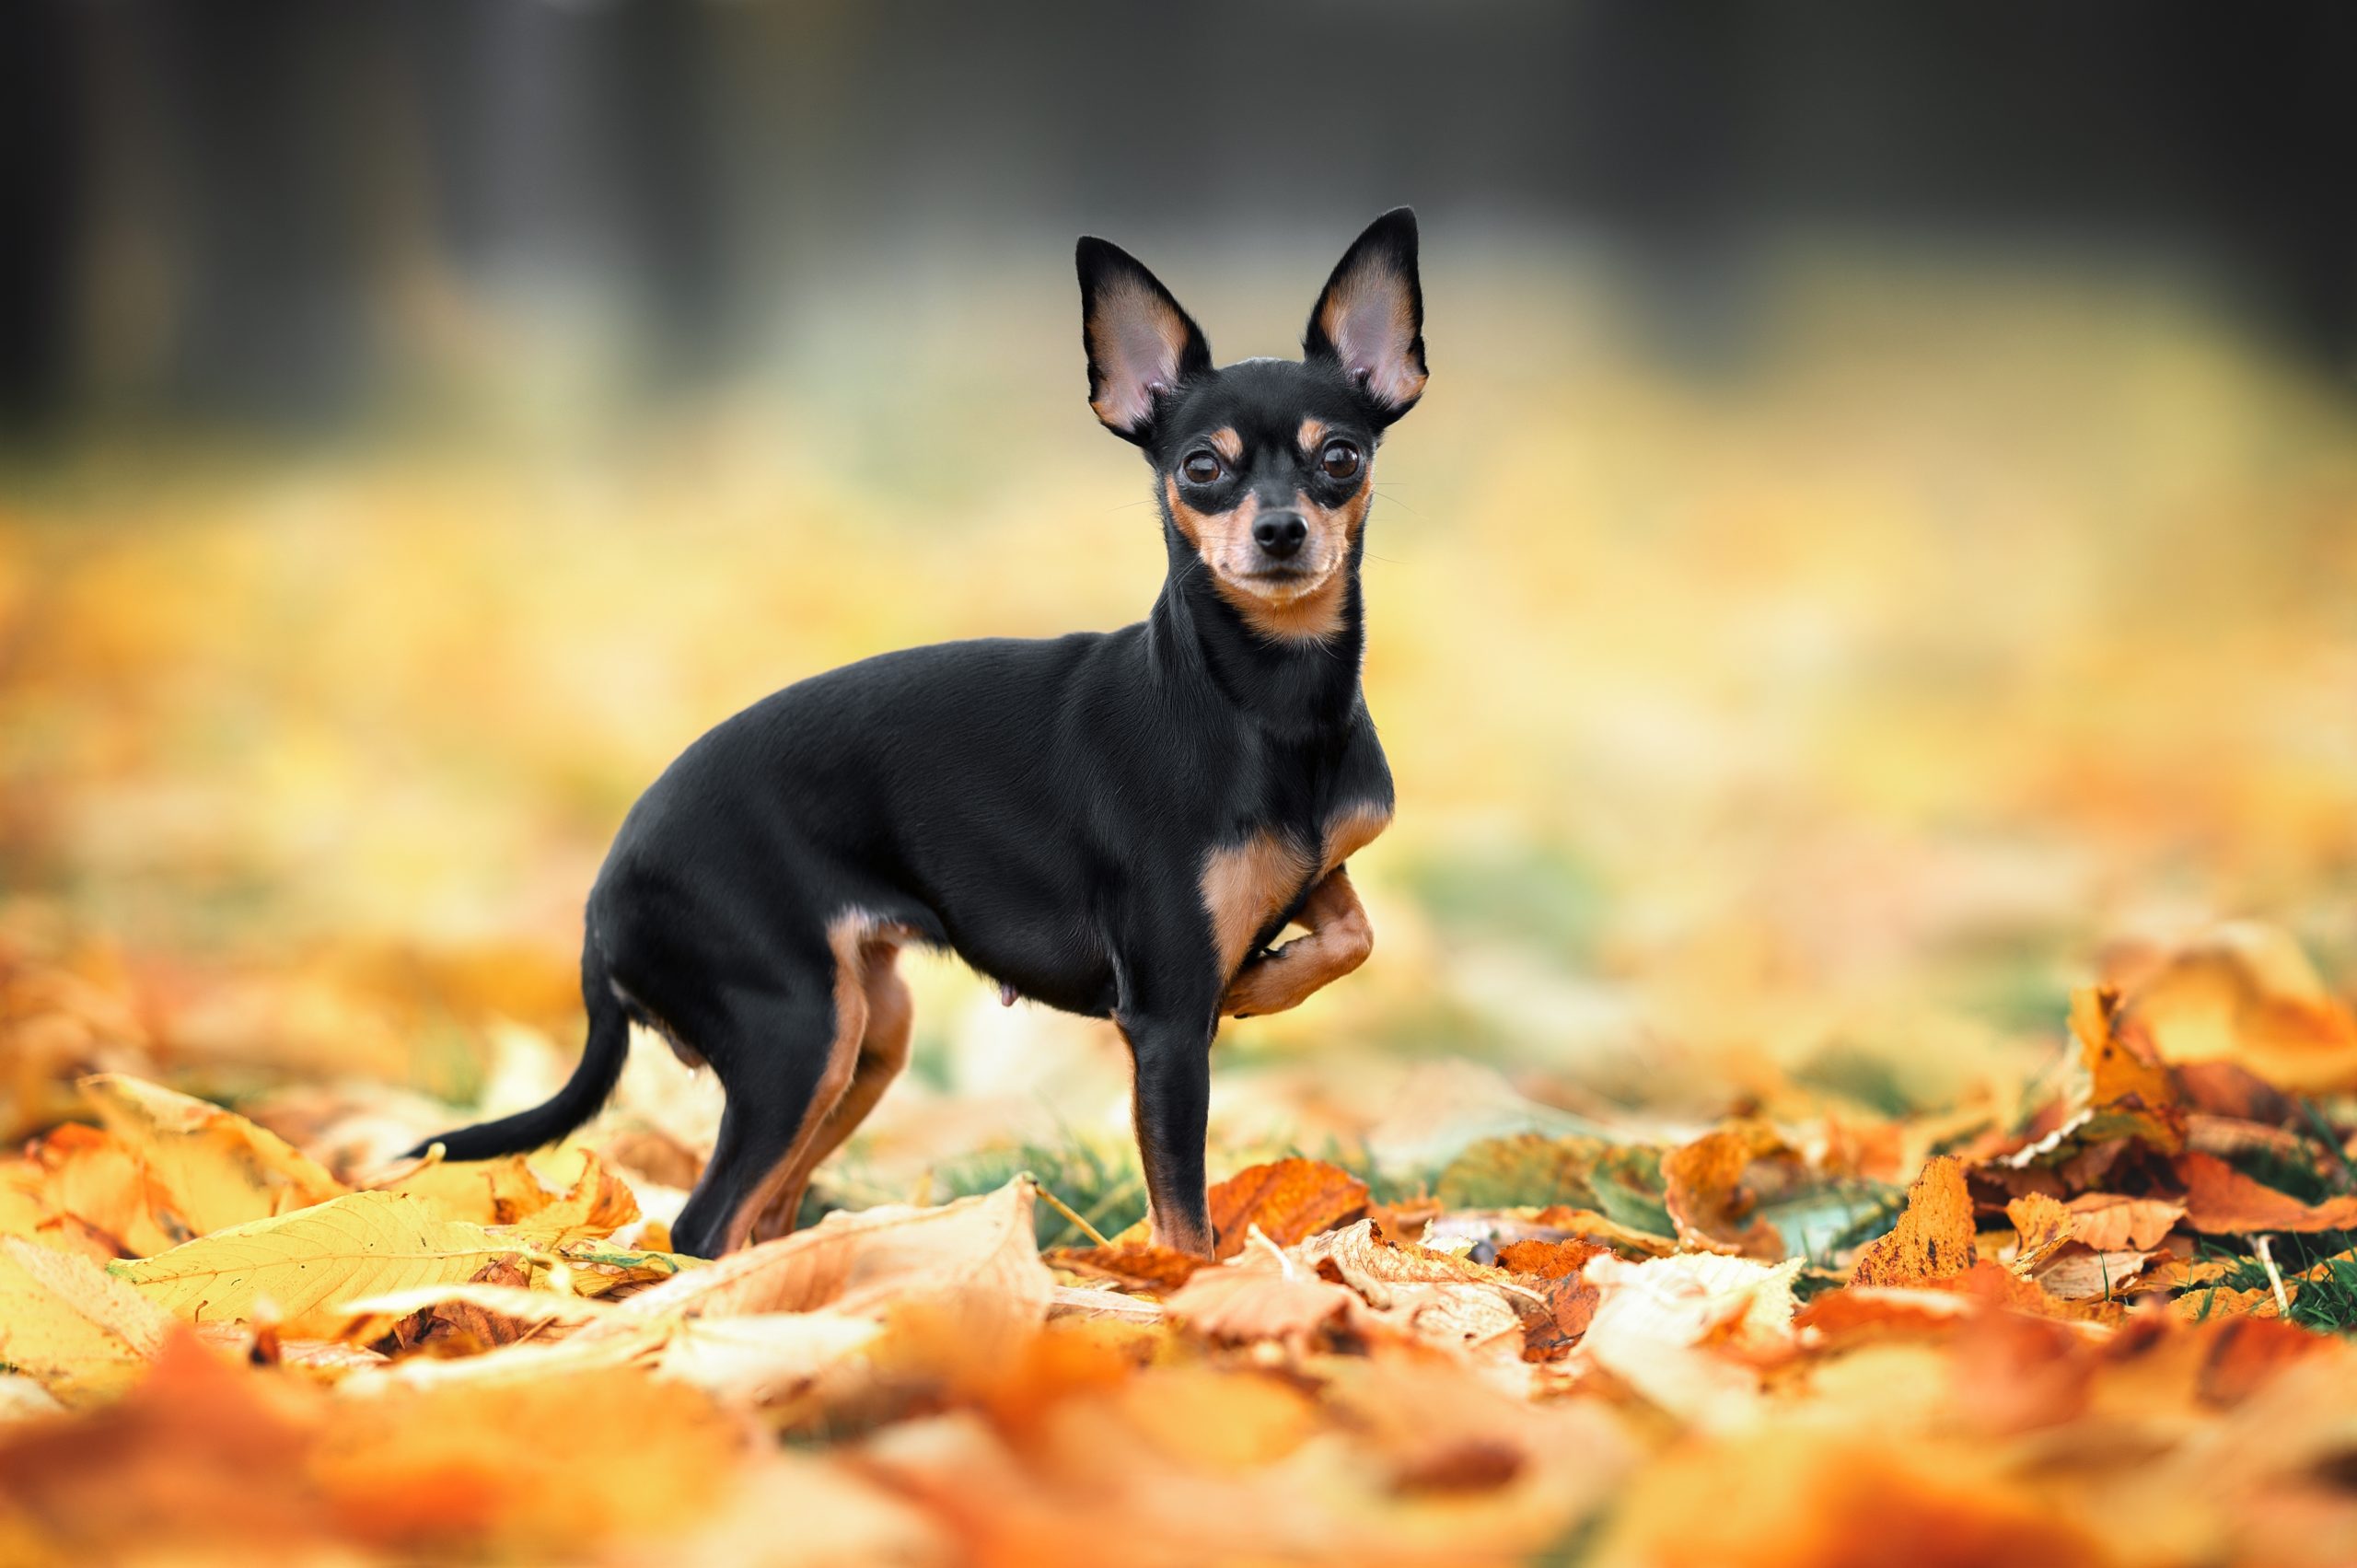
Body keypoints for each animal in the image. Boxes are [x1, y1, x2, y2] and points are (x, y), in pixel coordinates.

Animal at [414, 211, 1423, 1263]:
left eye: (1340, 457)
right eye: (1202, 468)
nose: (1280, 531)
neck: (1264, 702)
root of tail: (602, 895)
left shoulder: (1320, 862)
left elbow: (1352, 930)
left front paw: (1268, 978)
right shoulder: (1167, 1023)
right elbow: (1183, 1220)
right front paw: (1191, 1286)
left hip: (867, 1036)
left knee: (765, 1214)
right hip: (797, 1035)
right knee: (704, 1222)